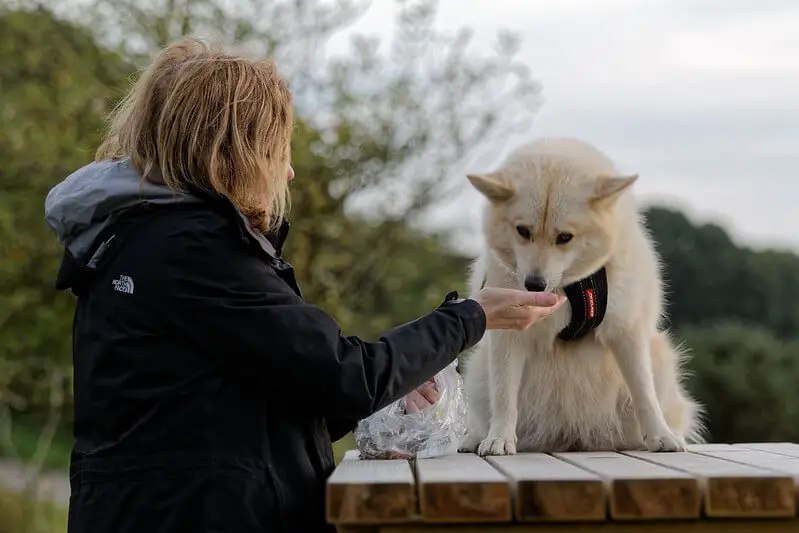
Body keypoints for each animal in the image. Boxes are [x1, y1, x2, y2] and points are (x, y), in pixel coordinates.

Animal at [460, 136, 704, 454]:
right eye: (522, 231)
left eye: (565, 237)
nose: (534, 284)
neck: (572, 286)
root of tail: (573, 435)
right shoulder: (508, 337)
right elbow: (503, 397)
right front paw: (499, 438)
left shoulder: (627, 333)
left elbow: (644, 394)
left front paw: (660, 435)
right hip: (478, 371)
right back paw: (477, 437)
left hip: (660, 358)